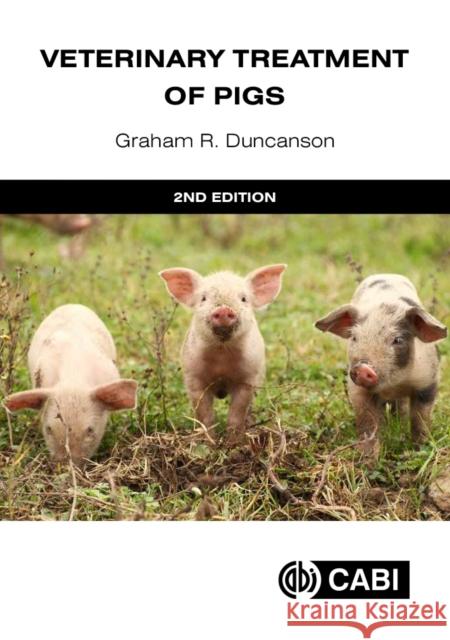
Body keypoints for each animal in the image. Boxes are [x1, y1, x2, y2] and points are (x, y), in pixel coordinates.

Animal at [159, 265, 287, 445]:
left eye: (244, 299)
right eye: (203, 298)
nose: (224, 309)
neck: (222, 357)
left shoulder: (248, 379)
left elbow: (236, 415)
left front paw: (233, 445)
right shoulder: (193, 378)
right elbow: (205, 416)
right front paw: (209, 444)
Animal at [315, 274, 447, 457]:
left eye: (397, 340)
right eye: (354, 337)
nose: (363, 367)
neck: (393, 384)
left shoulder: (428, 380)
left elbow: (420, 419)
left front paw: (420, 449)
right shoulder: (358, 390)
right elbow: (368, 423)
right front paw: (368, 459)